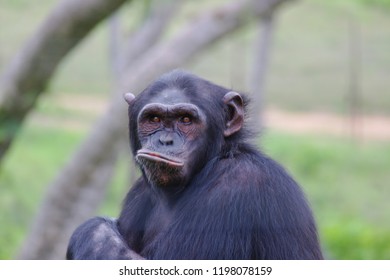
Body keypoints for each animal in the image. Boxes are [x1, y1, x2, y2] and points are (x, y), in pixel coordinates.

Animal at [67, 70, 322, 260]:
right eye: (154, 119)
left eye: (186, 120)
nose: (165, 140)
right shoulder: (137, 193)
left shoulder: (236, 187)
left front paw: (94, 230)